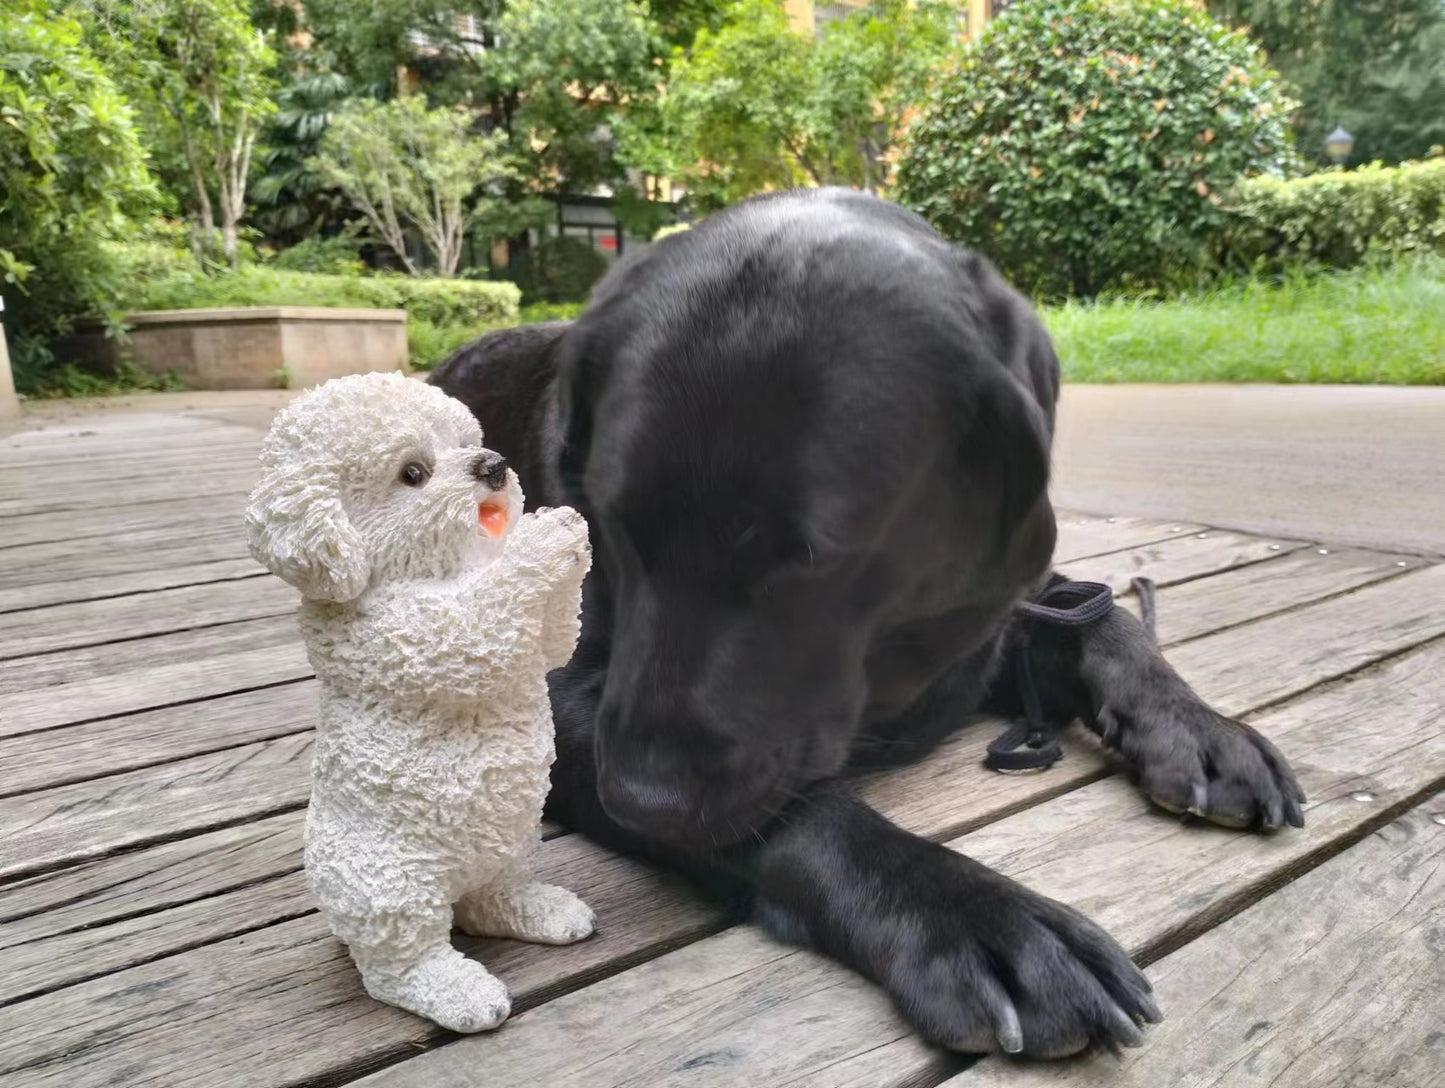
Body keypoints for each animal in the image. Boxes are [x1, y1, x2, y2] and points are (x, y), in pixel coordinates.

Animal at [433, 190, 1306, 1057]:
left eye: (813, 554)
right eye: (611, 521)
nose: (642, 799)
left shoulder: (994, 619)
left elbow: (1102, 619)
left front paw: (1199, 728)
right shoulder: (564, 697)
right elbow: (804, 813)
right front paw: (975, 916)